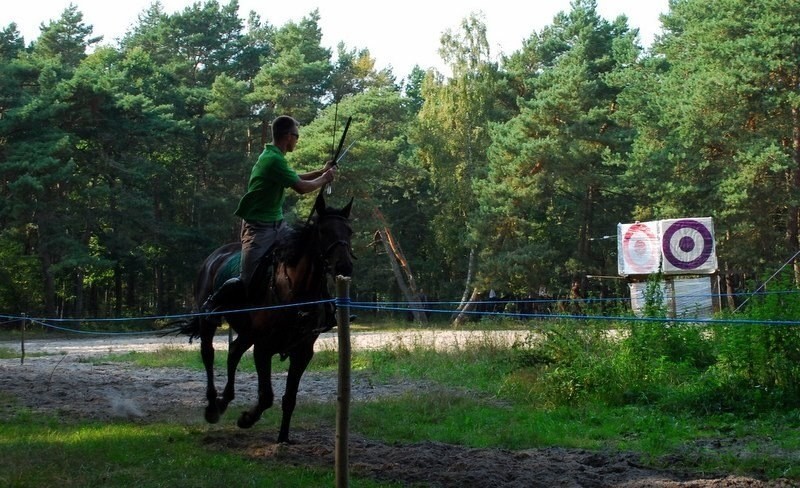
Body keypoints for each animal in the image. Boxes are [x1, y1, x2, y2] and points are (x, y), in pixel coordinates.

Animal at [184, 193, 356, 442]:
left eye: (349, 231)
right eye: (324, 231)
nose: (344, 266)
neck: (295, 294)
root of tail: (214, 257)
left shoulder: (303, 352)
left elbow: (289, 398)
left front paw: (283, 437)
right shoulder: (263, 348)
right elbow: (266, 396)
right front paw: (247, 419)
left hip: (247, 332)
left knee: (233, 352)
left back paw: (225, 399)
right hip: (209, 322)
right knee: (208, 354)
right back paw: (213, 405)